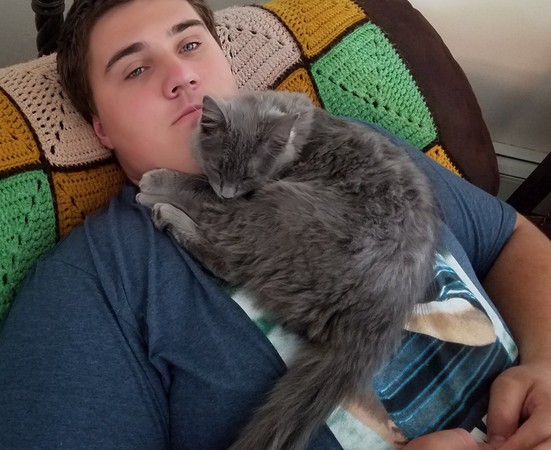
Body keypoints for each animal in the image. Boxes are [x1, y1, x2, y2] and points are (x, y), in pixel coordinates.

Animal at [137, 90, 441, 450]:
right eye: (220, 167)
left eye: (248, 176)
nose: (228, 191)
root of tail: (380, 317)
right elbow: (202, 185)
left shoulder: (246, 195)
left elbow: (196, 188)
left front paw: (155, 181)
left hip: (276, 207)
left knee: (225, 258)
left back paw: (165, 211)